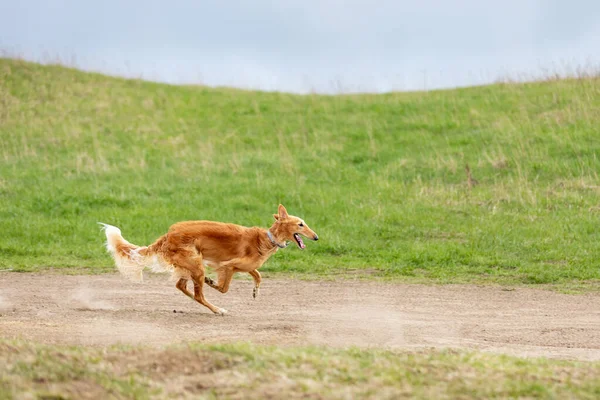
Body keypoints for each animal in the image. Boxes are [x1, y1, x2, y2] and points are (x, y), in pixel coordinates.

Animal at [101, 206, 318, 316]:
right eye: (301, 224)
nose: (316, 237)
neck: (266, 239)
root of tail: (168, 235)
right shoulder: (228, 265)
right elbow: (224, 287)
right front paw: (213, 282)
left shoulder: (246, 266)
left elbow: (258, 275)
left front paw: (255, 291)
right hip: (196, 265)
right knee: (198, 294)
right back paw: (217, 308)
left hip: (191, 265)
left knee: (182, 286)